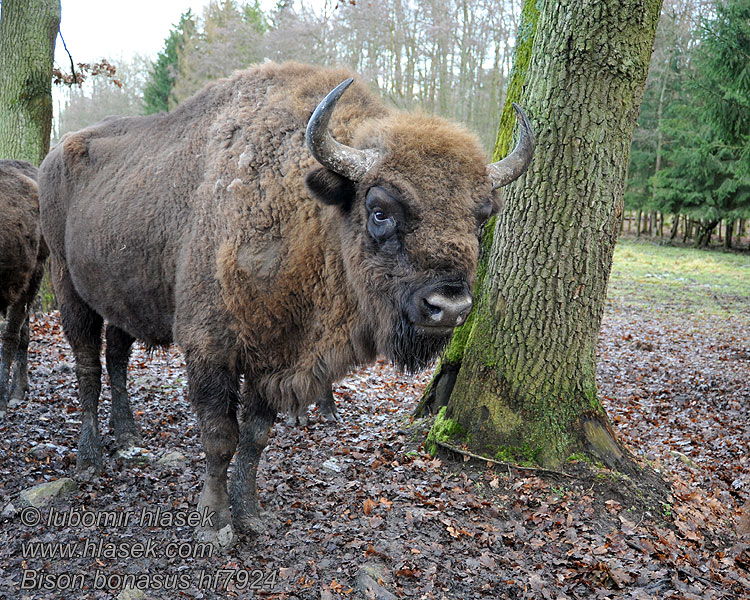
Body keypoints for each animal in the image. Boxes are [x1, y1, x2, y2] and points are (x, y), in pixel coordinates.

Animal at [39, 61, 536, 540]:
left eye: (480, 220)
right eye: (379, 210)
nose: (449, 307)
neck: (305, 216)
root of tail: (51, 156)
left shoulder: (275, 355)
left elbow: (255, 437)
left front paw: (252, 515)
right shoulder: (210, 350)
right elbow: (220, 436)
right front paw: (215, 523)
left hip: (120, 299)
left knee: (117, 359)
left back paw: (128, 438)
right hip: (68, 289)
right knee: (87, 366)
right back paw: (90, 460)